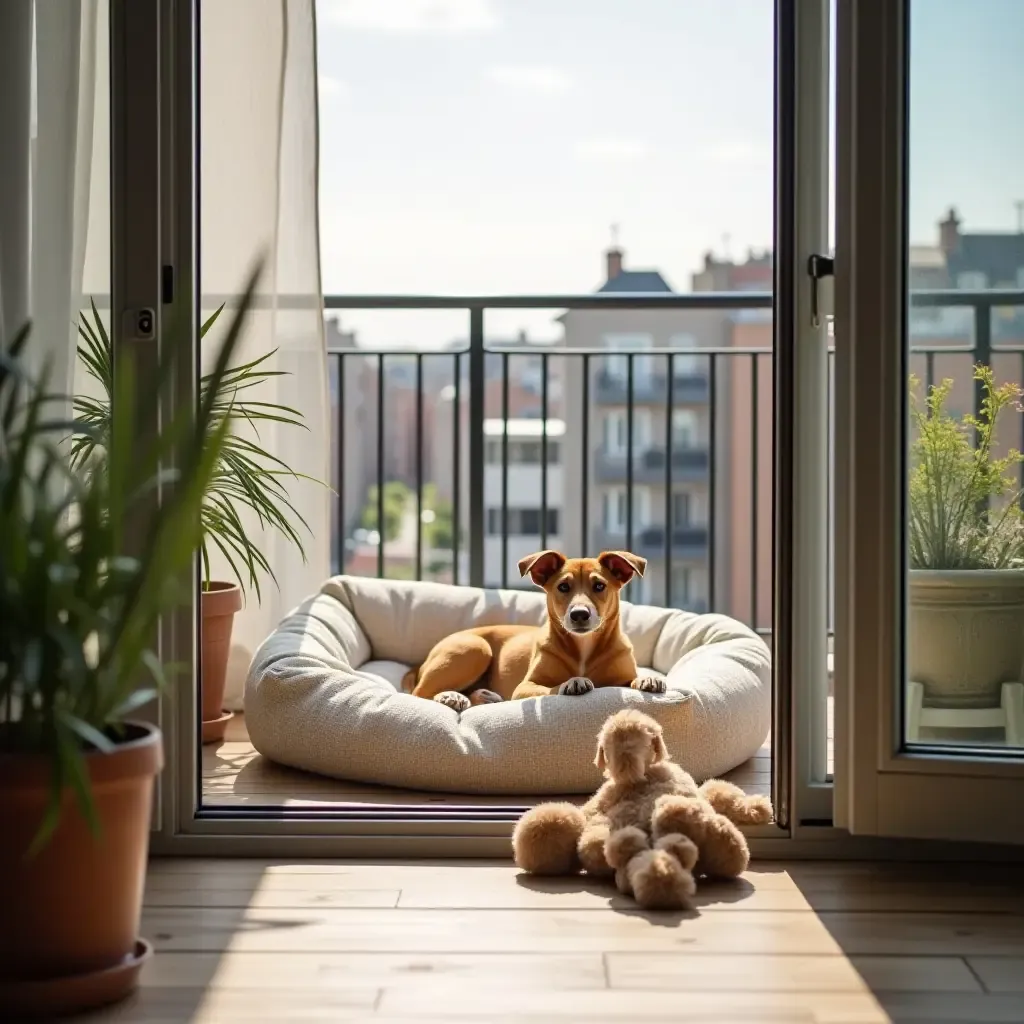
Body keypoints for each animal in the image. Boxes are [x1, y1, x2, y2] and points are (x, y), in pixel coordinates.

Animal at [395, 552, 667, 712]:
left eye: (599, 586)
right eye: (563, 587)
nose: (579, 614)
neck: (583, 646)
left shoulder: (621, 675)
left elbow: (631, 679)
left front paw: (647, 680)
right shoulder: (525, 687)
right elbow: (550, 687)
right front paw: (572, 682)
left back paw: (483, 697)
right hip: (475, 648)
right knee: (420, 693)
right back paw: (450, 697)